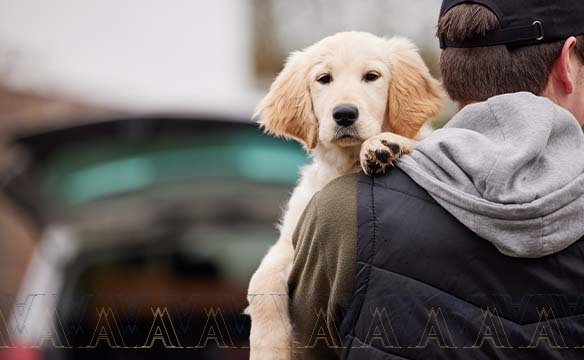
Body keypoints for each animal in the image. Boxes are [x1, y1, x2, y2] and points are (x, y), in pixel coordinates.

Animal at [245, 31, 442, 360]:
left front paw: (384, 145)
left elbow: (422, 141)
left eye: (372, 76)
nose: (345, 114)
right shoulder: (290, 240)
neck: (345, 164)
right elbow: (259, 284)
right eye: (324, 79)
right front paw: (268, 349)